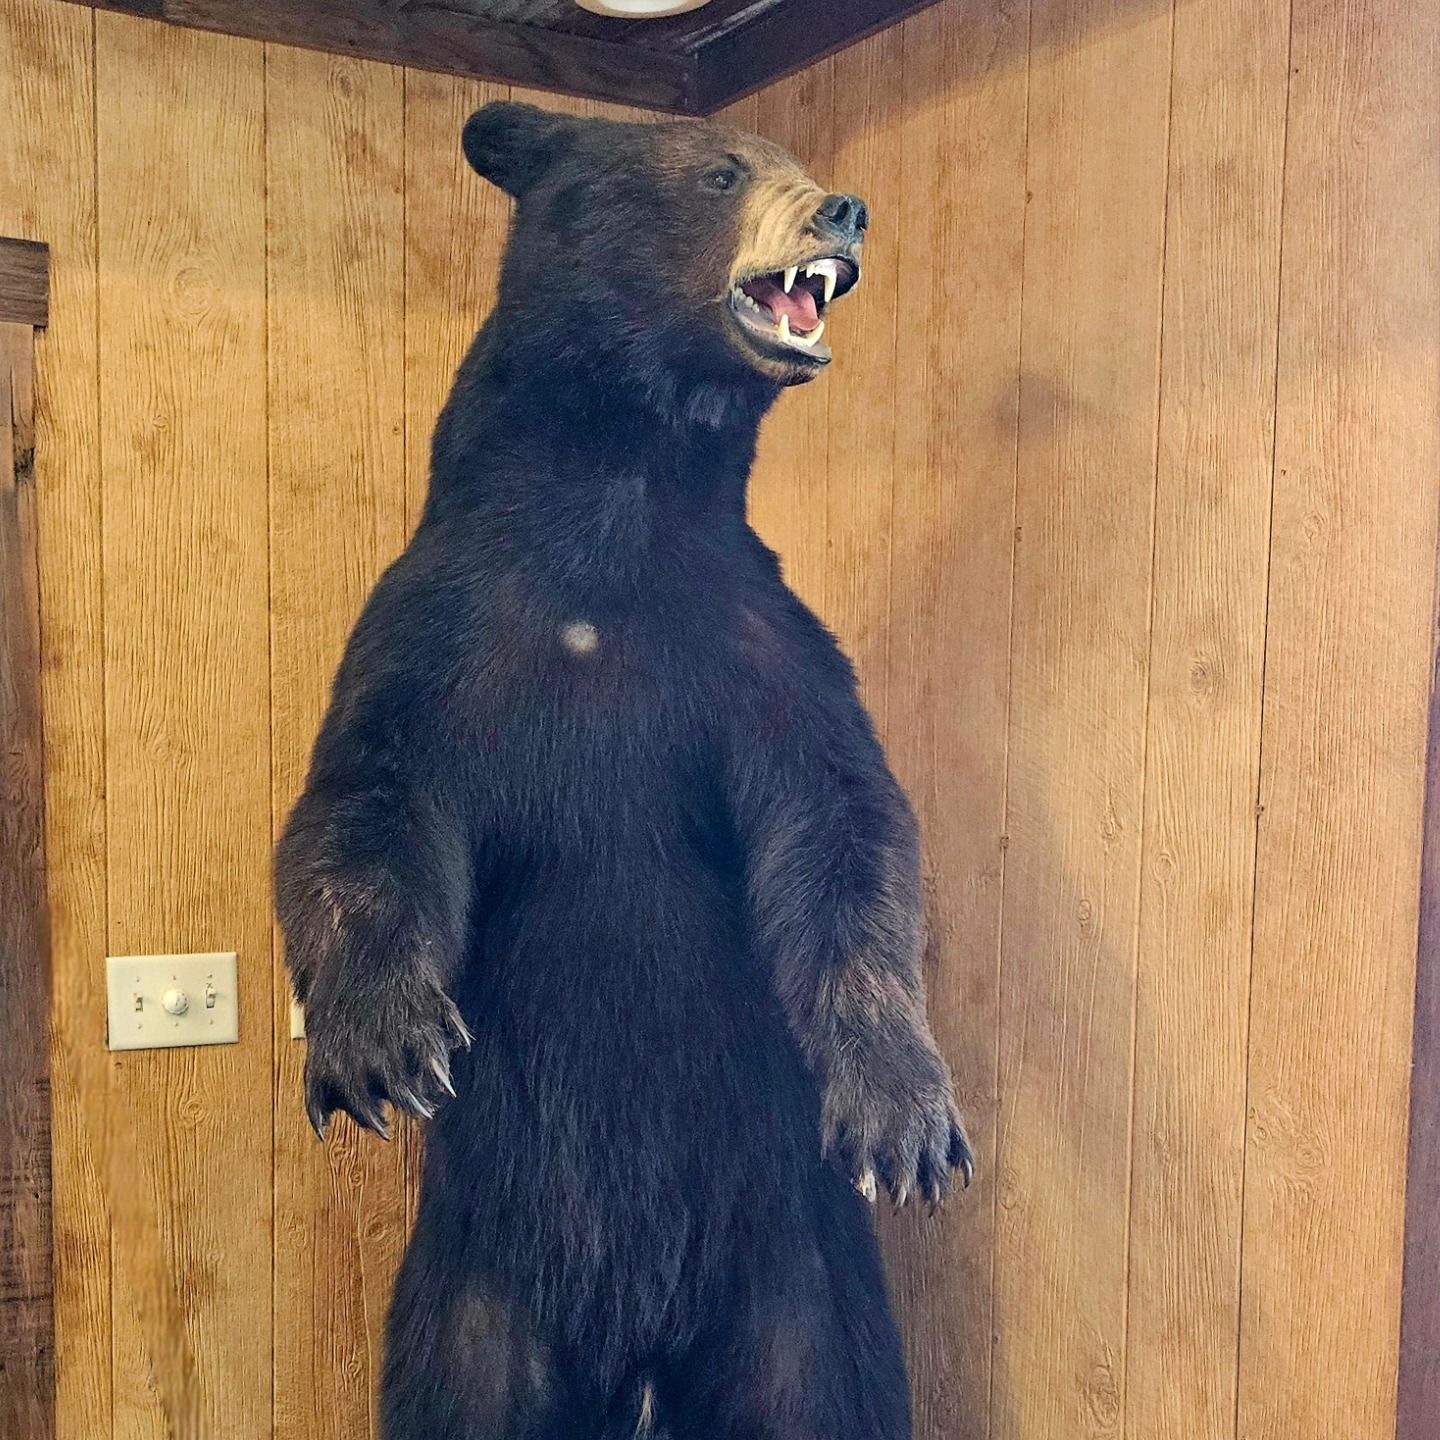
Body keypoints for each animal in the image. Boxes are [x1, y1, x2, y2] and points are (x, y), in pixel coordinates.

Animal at [275, 101, 973, 1440]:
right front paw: (381, 1038)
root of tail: (641, 1349)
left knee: (830, 1391)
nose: (846, 209)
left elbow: (846, 832)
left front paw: (905, 1109)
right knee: (458, 1391)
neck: (620, 497)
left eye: (793, 163)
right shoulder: (440, 636)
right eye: (722, 170)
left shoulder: (754, 649)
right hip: (477, 1289)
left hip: (798, 1283)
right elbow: (360, 807)